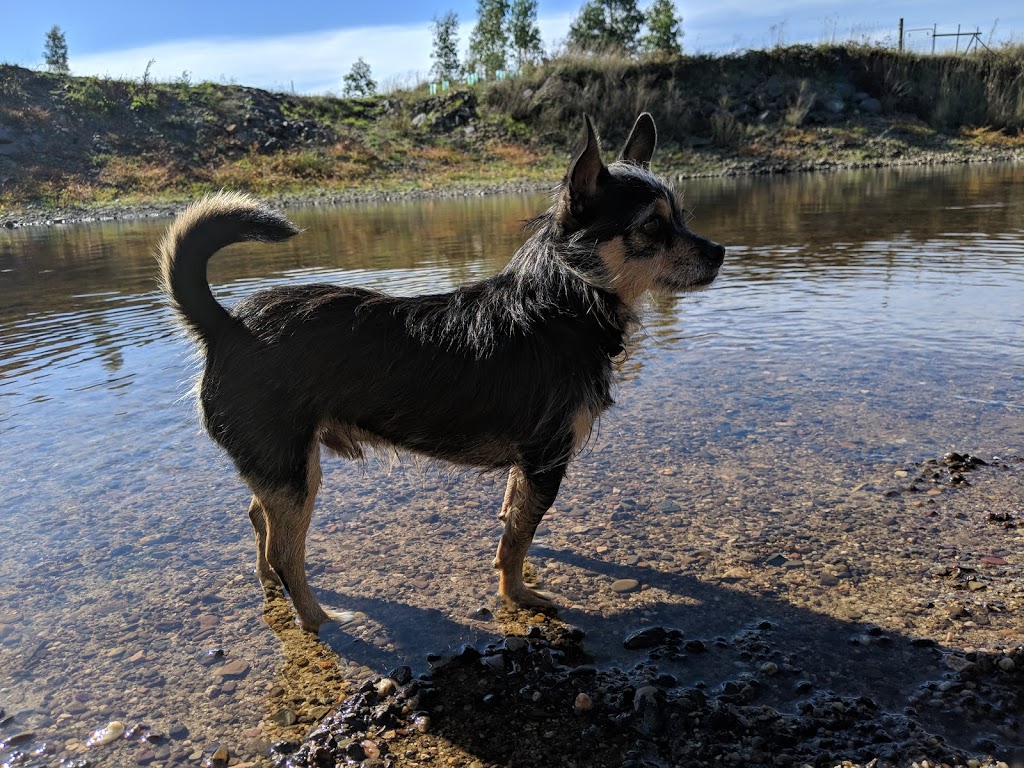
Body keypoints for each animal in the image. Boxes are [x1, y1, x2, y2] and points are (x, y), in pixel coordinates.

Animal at [159, 112, 724, 630]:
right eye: (652, 227)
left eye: (682, 217)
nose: (721, 251)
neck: (564, 303)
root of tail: (227, 326)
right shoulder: (546, 459)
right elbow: (517, 541)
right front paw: (518, 595)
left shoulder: (527, 465)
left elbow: (513, 518)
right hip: (294, 472)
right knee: (284, 550)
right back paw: (319, 618)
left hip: (285, 469)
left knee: (258, 519)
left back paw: (272, 588)